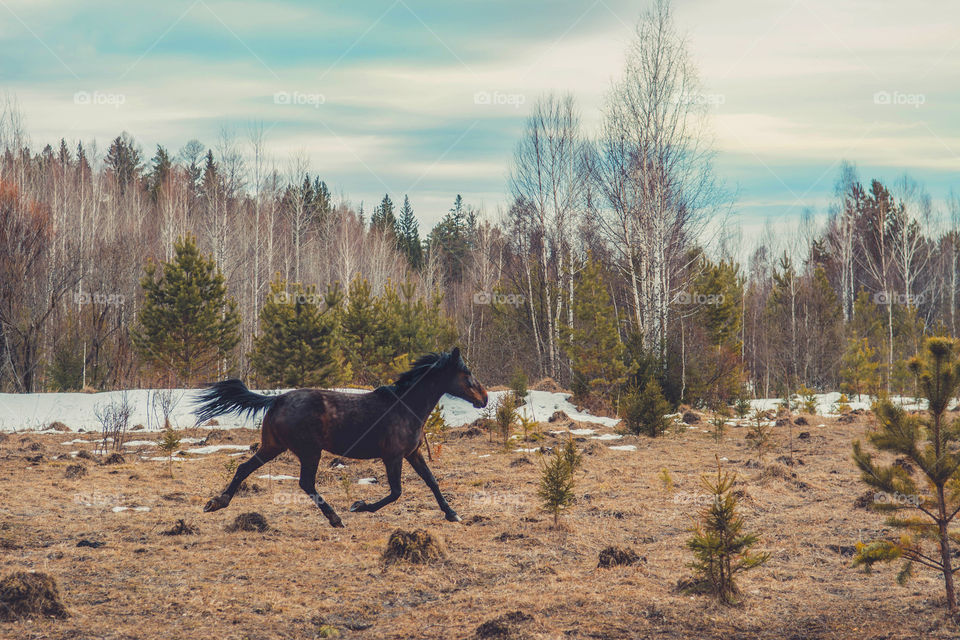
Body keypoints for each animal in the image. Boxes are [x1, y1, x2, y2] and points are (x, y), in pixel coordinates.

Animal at [192, 348, 488, 528]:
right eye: (466, 374)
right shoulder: (392, 457)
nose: (484, 399)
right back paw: (335, 518)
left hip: (272, 446)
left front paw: (452, 514)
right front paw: (359, 506)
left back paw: (216, 503)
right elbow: (396, 492)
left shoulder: (412, 453)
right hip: (309, 451)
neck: (405, 406)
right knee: (305, 483)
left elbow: (432, 482)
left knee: (244, 468)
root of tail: (276, 399)